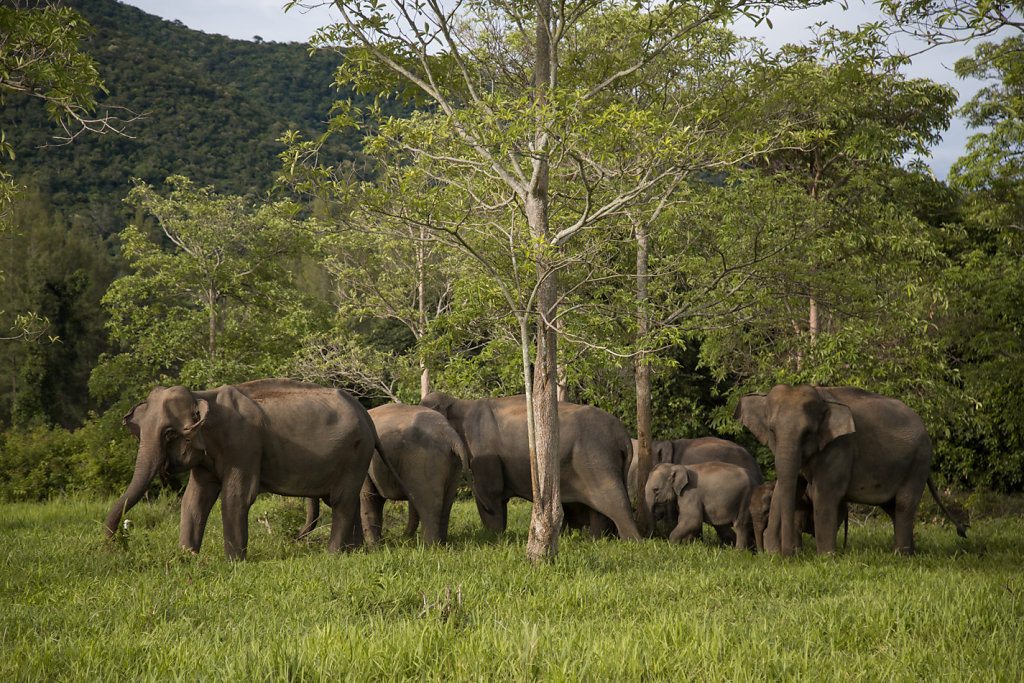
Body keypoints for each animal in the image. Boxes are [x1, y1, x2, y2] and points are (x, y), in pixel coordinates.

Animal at [105, 378, 382, 561]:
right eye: (140, 431)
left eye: (169, 433)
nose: (113, 545)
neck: (202, 395)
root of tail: (365, 414)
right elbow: (194, 499)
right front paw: (186, 558)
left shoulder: (244, 445)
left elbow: (237, 496)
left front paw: (233, 562)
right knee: (347, 501)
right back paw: (356, 553)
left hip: (356, 454)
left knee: (342, 500)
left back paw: (332, 556)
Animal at [299, 403, 468, 548]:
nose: (297, 536)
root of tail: (451, 436)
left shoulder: (362, 463)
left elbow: (367, 497)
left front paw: (372, 547)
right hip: (453, 466)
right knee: (446, 504)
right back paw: (441, 545)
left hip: (423, 461)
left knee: (428, 505)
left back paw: (429, 548)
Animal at [417, 393, 638, 540]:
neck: (461, 403)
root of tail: (624, 438)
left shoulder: (485, 453)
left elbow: (490, 493)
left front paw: (493, 538)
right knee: (600, 510)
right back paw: (597, 540)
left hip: (596, 459)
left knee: (615, 501)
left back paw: (632, 544)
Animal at [737, 385, 966, 557]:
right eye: (772, 431)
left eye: (808, 433)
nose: (787, 555)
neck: (822, 395)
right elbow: (788, 487)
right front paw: (774, 555)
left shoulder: (840, 447)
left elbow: (825, 495)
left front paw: (826, 558)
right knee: (892, 508)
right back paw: (910, 553)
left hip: (918, 463)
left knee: (904, 504)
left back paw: (900, 556)